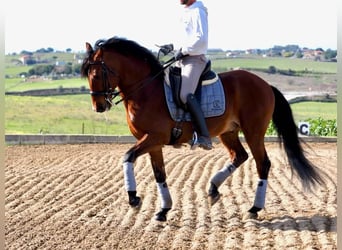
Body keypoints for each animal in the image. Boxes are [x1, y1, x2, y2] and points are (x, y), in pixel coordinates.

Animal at [81, 36, 324, 221]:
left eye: (96, 75)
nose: (98, 107)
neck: (146, 90)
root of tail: (264, 84)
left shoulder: (154, 137)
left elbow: (128, 156)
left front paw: (133, 198)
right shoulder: (152, 143)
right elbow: (159, 174)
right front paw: (163, 210)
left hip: (253, 132)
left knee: (262, 163)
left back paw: (254, 208)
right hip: (229, 132)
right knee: (240, 156)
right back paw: (213, 189)